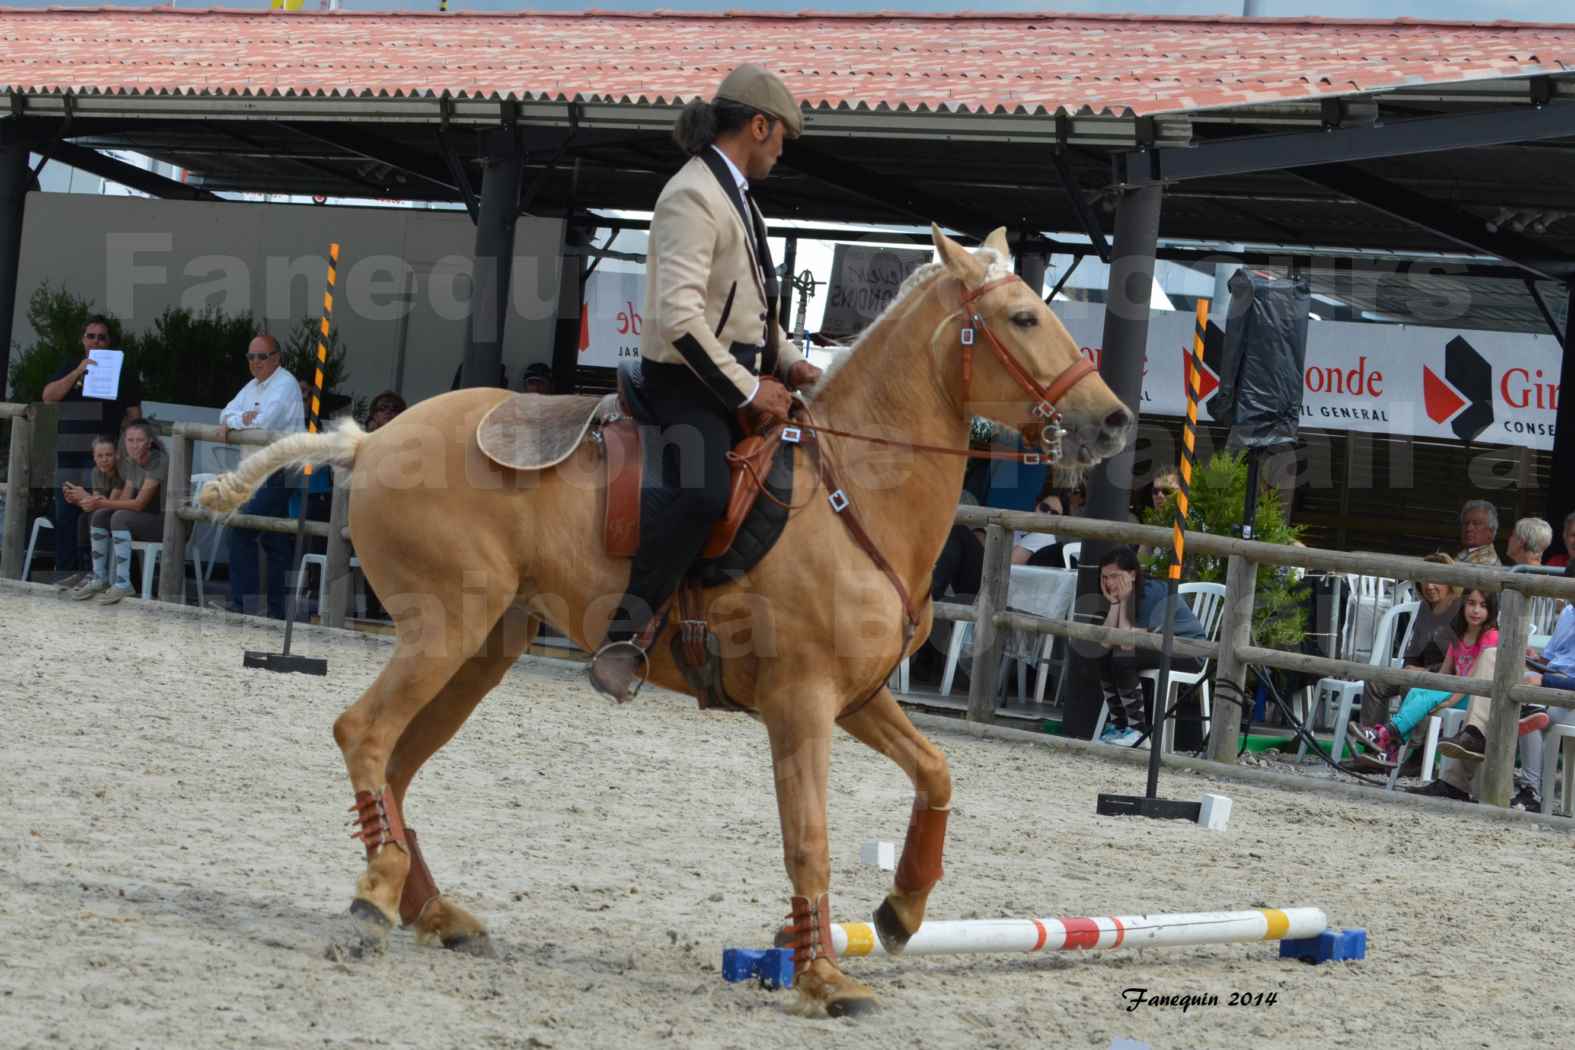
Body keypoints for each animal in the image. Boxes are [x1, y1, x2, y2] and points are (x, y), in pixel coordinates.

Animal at [203, 223, 1134, 1020]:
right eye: (1023, 317)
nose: (1114, 421)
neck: (851, 491)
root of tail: (373, 441)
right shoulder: (801, 705)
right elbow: (808, 837)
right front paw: (823, 976)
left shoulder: (860, 697)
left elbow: (936, 773)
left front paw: (899, 910)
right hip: (444, 634)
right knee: (363, 733)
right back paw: (375, 894)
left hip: (481, 652)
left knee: (395, 765)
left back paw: (430, 910)